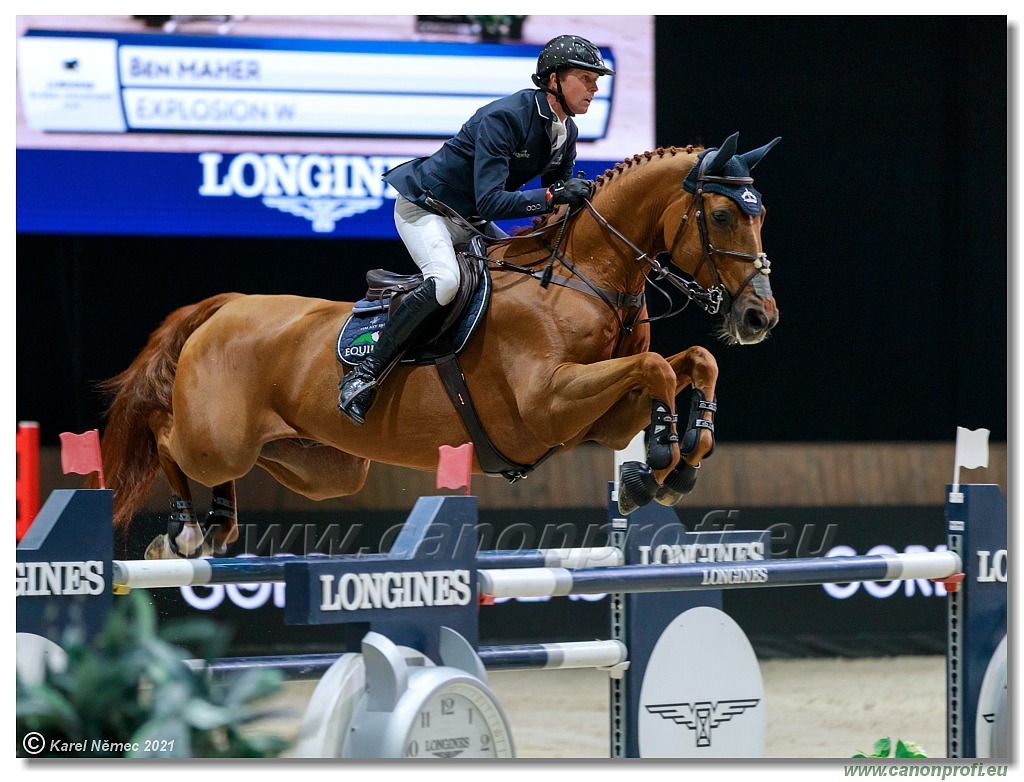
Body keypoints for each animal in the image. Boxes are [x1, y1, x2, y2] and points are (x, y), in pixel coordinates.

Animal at [97, 136, 782, 560]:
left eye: (761, 214)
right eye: (723, 216)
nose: (759, 317)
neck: (582, 274)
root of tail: (226, 305)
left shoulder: (601, 418)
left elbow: (690, 363)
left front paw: (672, 465)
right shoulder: (545, 405)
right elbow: (655, 368)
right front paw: (663, 456)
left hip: (321, 466)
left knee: (242, 469)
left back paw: (217, 525)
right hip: (218, 438)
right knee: (165, 436)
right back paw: (184, 531)